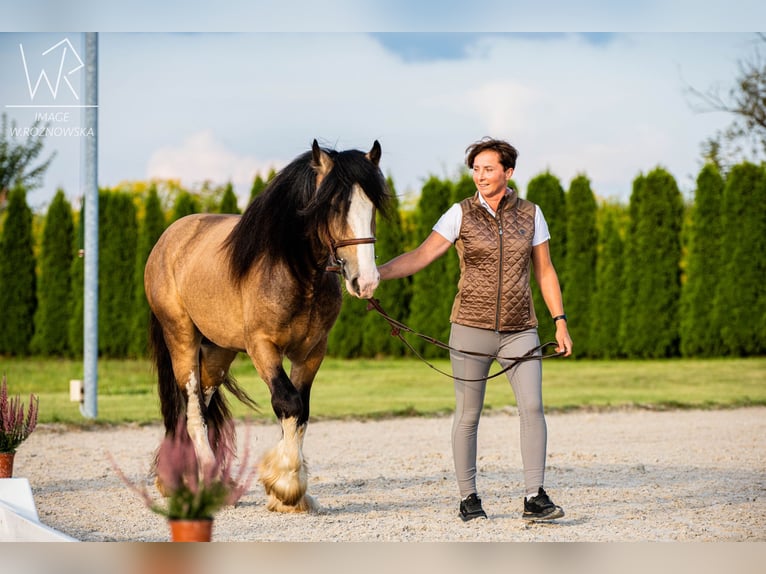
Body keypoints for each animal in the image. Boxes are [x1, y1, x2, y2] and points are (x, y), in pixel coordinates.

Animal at [146, 140, 390, 512]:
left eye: (372, 205)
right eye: (333, 206)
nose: (366, 281)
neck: (295, 272)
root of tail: (167, 240)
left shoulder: (312, 352)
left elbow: (302, 411)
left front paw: (295, 494)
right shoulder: (262, 347)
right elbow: (288, 402)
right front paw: (286, 486)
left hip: (217, 352)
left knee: (200, 403)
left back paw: (186, 479)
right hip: (182, 338)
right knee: (193, 412)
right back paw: (209, 482)